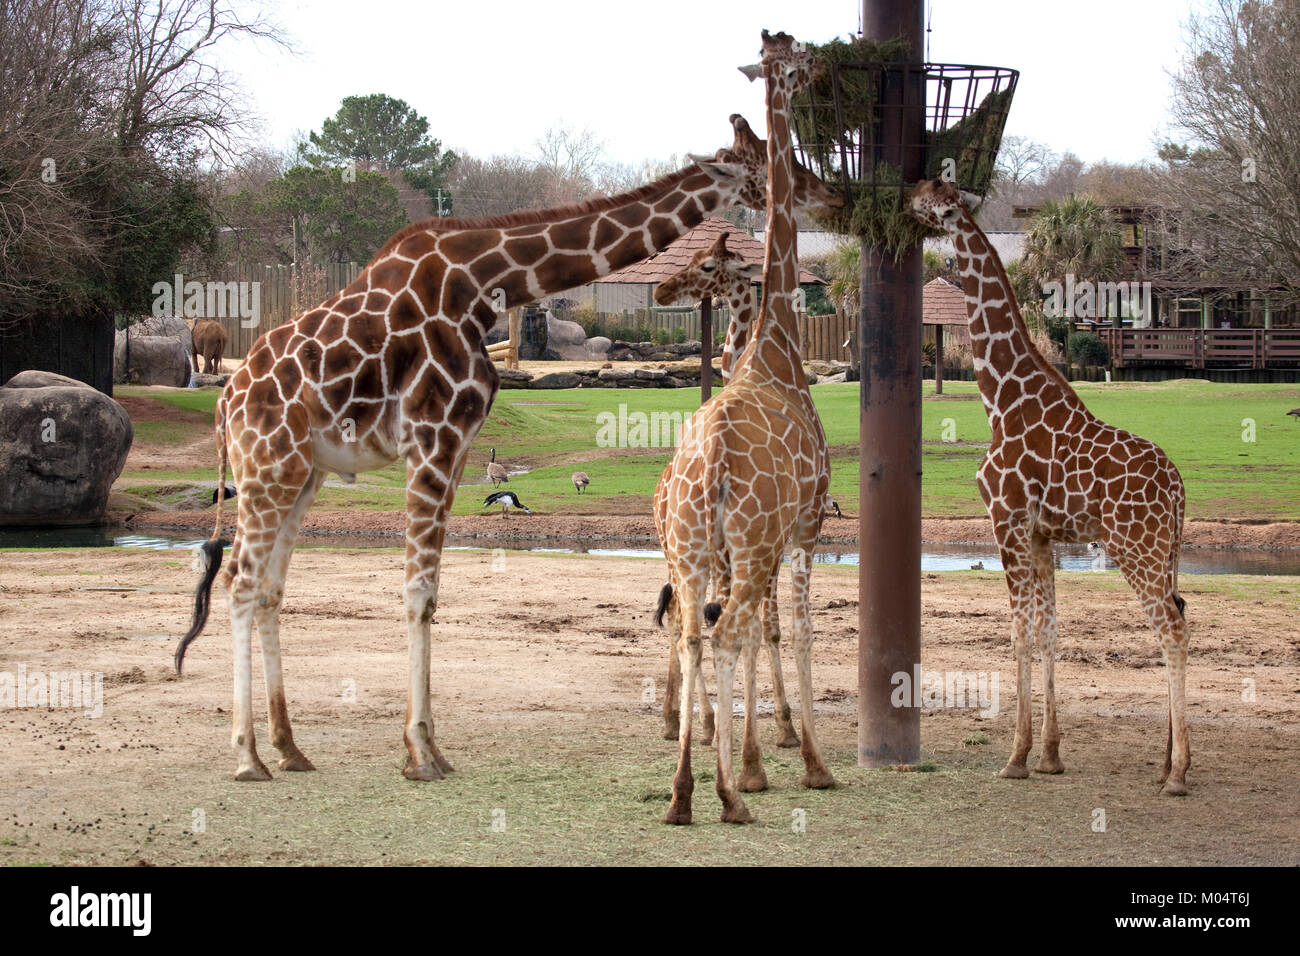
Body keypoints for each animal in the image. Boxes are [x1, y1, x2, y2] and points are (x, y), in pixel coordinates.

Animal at [172, 113, 842, 785]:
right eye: (768, 163)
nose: (827, 195)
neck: (488, 281)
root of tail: (225, 405)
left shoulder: (458, 444)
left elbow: (431, 592)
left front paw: (429, 748)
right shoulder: (434, 434)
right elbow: (418, 590)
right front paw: (420, 754)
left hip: (301, 475)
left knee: (268, 589)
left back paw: (289, 748)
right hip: (269, 468)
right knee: (240, 582)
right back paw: (248, 757)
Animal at [909, 175, 1190, 796]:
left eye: (936, 195)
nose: (907, 197)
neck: (1001, 399)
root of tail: (1180, 490)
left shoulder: (1007, 522)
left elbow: (1017, 634)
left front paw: (1015, 756)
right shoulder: (1041, 536)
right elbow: (1049, 633)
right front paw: (1051, 755)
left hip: (1135, 547)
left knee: (1172, 629)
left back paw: (1180, 773)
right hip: (1166, 552)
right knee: (1181, 615)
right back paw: (1166, 761)